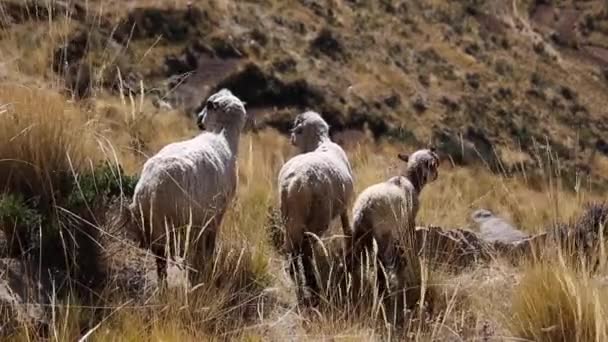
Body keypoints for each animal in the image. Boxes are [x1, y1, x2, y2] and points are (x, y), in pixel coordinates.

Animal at [127, 88, 251, 284]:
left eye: (207, 106)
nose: (198, 119)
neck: (222, 135)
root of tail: (151, 188)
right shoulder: (217, 213)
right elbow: (210, 242)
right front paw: (209, 260)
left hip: (154, 225)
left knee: (160, 257)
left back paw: (164, 284)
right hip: (180, 222)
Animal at [278, 111, 354, 296]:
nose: (291, 138)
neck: (320, 143)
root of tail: (297, 183)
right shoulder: (344, 205)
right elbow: (347, 227)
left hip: (289, 216)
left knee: (294, 248)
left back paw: (295, 274)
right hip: (317, 218)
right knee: (306, 251)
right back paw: (312, 282)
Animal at [350, 148, 440, 284]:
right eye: (435, 163)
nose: (436, 175)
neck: (409, 180)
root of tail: (364, 207)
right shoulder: (408, 221)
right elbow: (408, 242)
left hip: (358, 233)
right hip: (383, 233)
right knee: (380, 261)